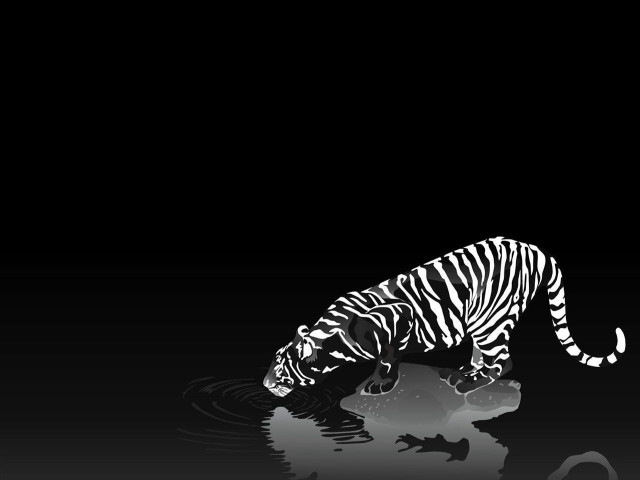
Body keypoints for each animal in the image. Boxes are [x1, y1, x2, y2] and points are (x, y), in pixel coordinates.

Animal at [263, 237, 626, 397]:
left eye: (281, 367)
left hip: (491, 321)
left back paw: (470, 383)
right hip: (481, 322)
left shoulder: (399, 317)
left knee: (503, 361)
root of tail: (534, 248)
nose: (265, 384)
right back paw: (463, 371)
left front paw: (380, 384)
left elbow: (387, 356)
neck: (333, 336)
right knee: (483, 354)